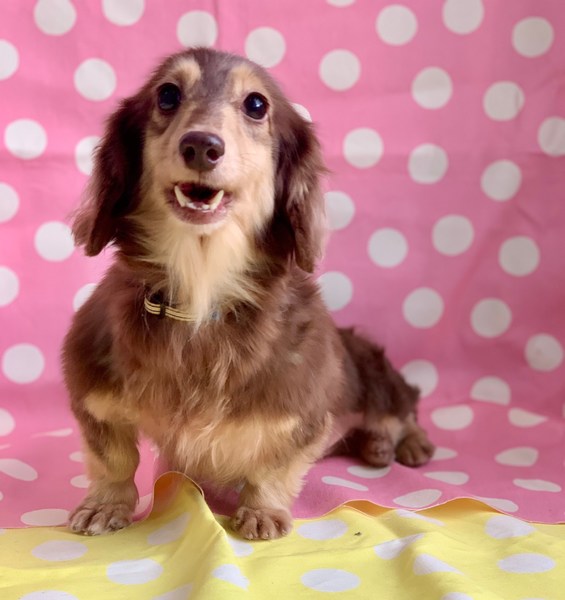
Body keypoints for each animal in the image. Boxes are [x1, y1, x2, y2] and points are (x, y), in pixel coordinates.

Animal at [62, 48, 434, 540]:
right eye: (167, 95)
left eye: (256, 105)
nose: (202, 145)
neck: (201, 292)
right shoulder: (93, 393)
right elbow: (114, 459)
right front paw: (105, 505)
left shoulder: (300, 408)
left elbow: (272, 467)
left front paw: (261, 511)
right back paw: (375, 446)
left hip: (376, 381)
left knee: (405, 408)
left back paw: (409, 444)